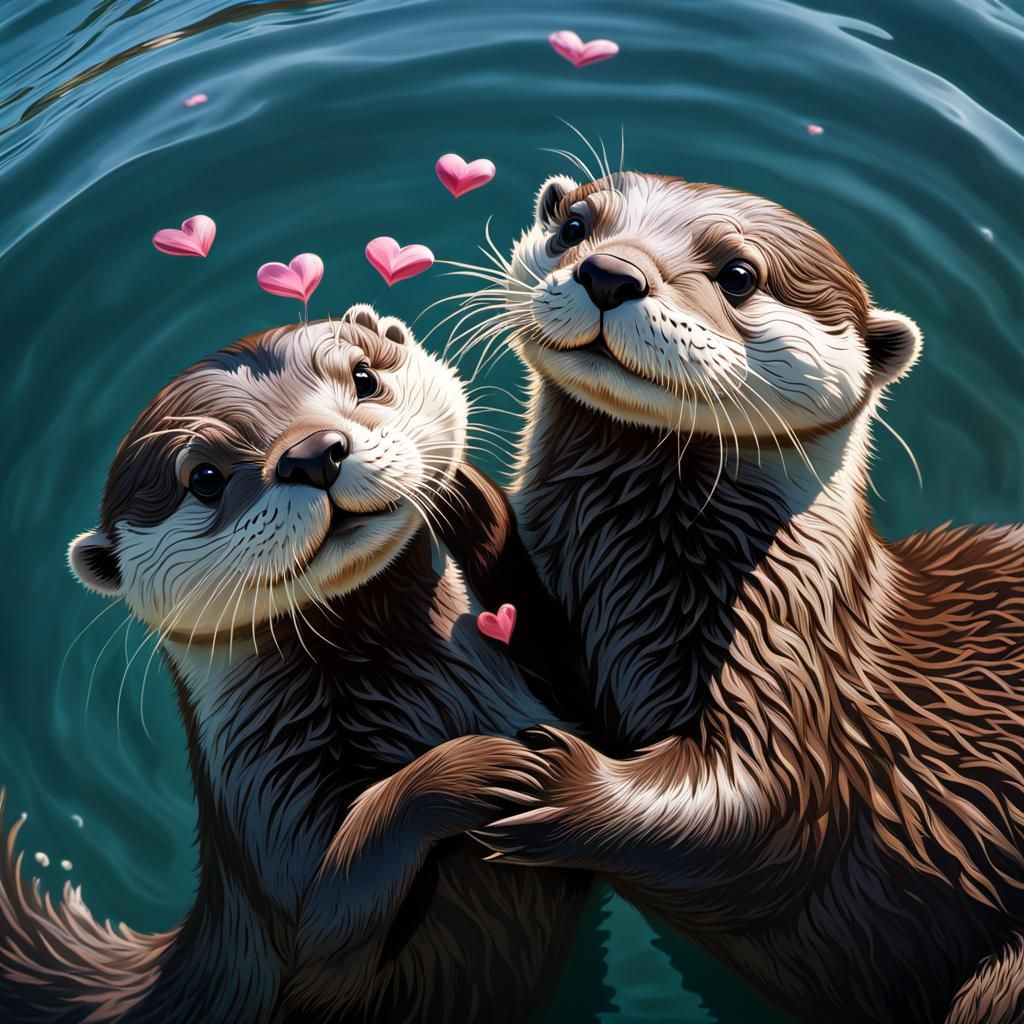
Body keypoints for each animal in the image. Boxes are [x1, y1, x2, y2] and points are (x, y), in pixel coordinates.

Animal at [0, 307, 590, 1023]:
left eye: (363, 377)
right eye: (204, 478)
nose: (314, 453)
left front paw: (465, 493)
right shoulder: (266, 822)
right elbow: (332, 912)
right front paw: (482, 768)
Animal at [444, 172, 1024, 1024]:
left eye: (740, 275)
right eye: (575, 225)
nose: (610, 273)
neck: (630, 591)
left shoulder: (794, 679)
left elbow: (754, 811)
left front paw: (546, 780)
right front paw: (463, 497)